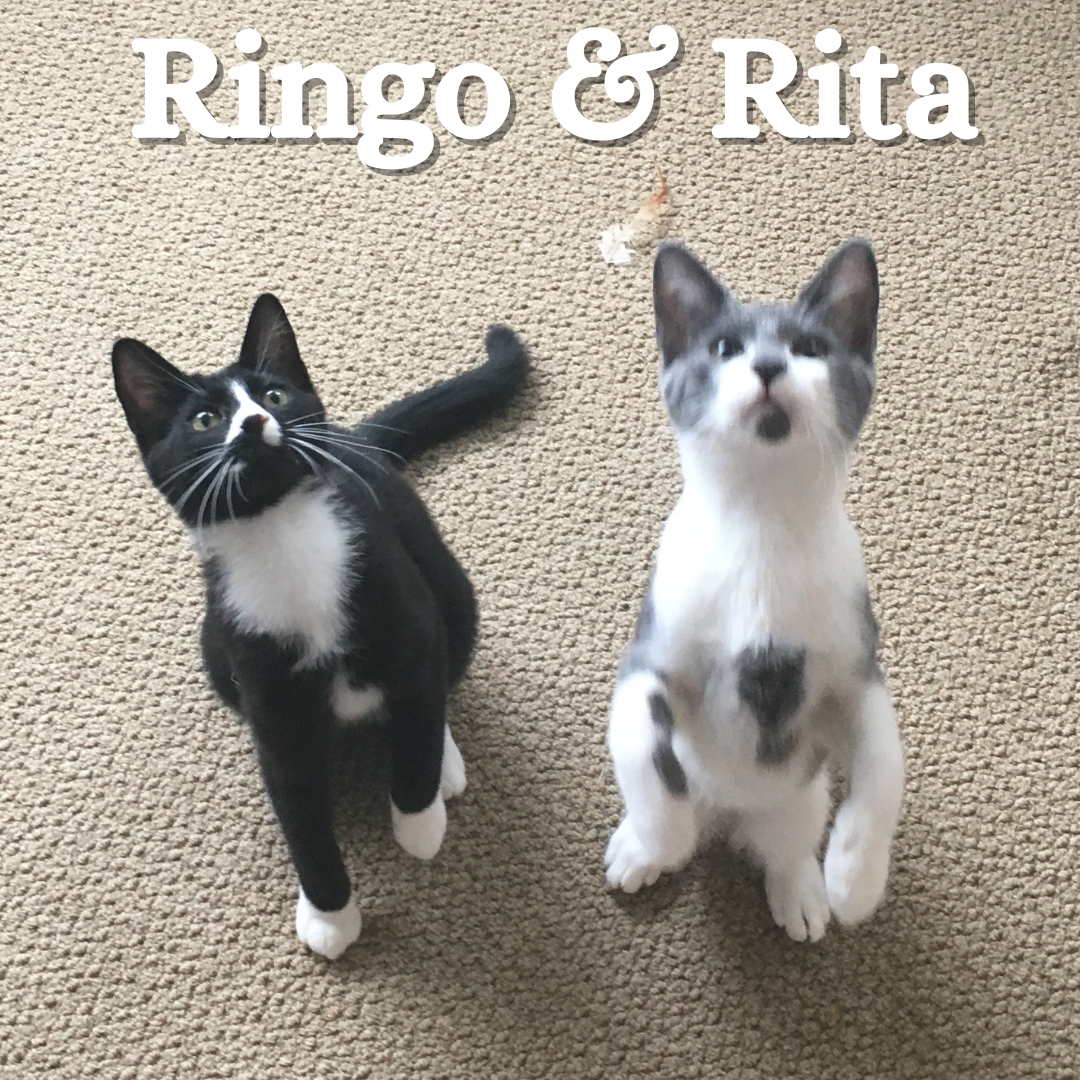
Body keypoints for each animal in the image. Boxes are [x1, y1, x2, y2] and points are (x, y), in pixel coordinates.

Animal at [112, 295, 528, 959]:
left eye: (275, 396)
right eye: (204, 420)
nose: (252, 423)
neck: (282, 539)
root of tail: (355, 441)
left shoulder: (407, 615)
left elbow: (418, 715)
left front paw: (419, 822)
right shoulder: (267, 695)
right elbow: (299, 812)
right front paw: (330, 915)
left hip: (451, 588)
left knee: (442, 672)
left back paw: (446, 766)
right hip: (213, 650)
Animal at [604, 239, 905, 941]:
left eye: (811, 347)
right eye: (724, 348)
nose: (768, 365)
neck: (762, 524)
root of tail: (729, 810)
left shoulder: (854, 673)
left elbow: (884, 767)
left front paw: (856, 879)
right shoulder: (649, 659)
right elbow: (642, 744)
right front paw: (661, 838)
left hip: (802, 792)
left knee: (788, 838)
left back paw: (801, 889)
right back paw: (642, 848)